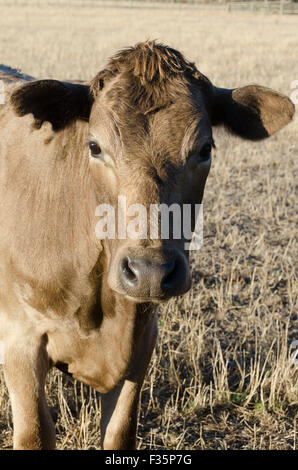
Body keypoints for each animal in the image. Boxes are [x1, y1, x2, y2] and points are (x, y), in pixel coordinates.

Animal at [0, 42, 294, 450]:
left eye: (205, 149)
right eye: (94, 146)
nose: (150, 271)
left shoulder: (141, 342)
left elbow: (120, 433)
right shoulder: (20, 340)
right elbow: (34, 434)